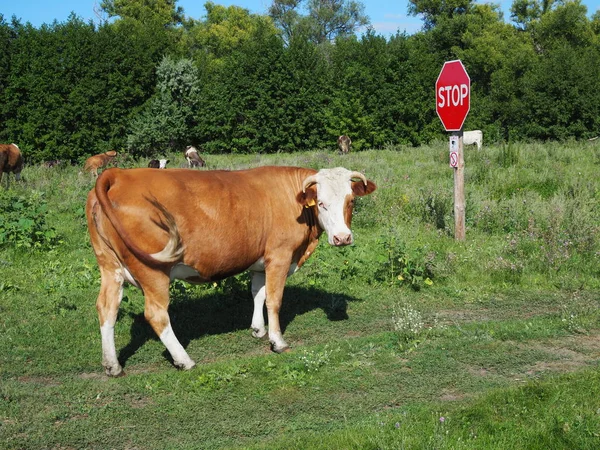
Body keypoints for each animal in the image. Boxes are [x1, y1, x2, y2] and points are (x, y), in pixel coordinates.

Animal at [85, 165, 376, 376]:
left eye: (350, 201)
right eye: (322, 203)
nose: (342, 238)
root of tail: (119, 174)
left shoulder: (260, 260)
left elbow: (258, 293)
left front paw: (258, 329)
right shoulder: (280, 256)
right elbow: (274, 299)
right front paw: (277, 341)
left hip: (109, 266)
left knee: (106, 308)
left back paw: (112, 365)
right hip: (153, 271)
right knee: (156, 314)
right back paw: (184, 360)